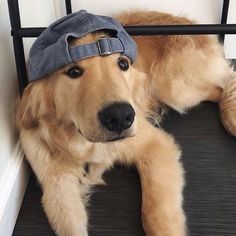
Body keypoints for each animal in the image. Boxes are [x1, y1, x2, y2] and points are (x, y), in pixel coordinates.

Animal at [15, 11, 235, 236]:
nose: (120, 117)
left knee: (226, 79)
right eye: (74, 72)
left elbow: (155, 213)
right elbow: (70, 225)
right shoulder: (56, 182)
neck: (83, 145)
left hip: (176, 88)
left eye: (123, 64)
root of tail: (186, 22)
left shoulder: (155, 145)